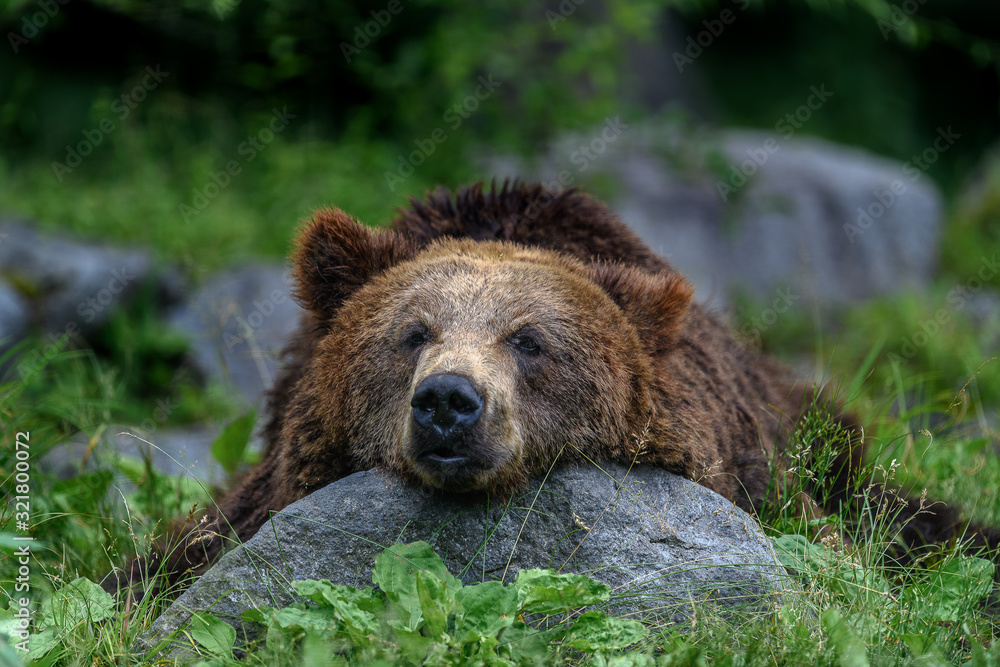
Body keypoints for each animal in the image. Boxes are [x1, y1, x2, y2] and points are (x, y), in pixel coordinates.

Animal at [127, 180, 996, 595]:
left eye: (530, 340)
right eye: (413, 331)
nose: (448, 402)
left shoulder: (754, 477)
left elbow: (834, 551)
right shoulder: (268, 481)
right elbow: (172, 558)